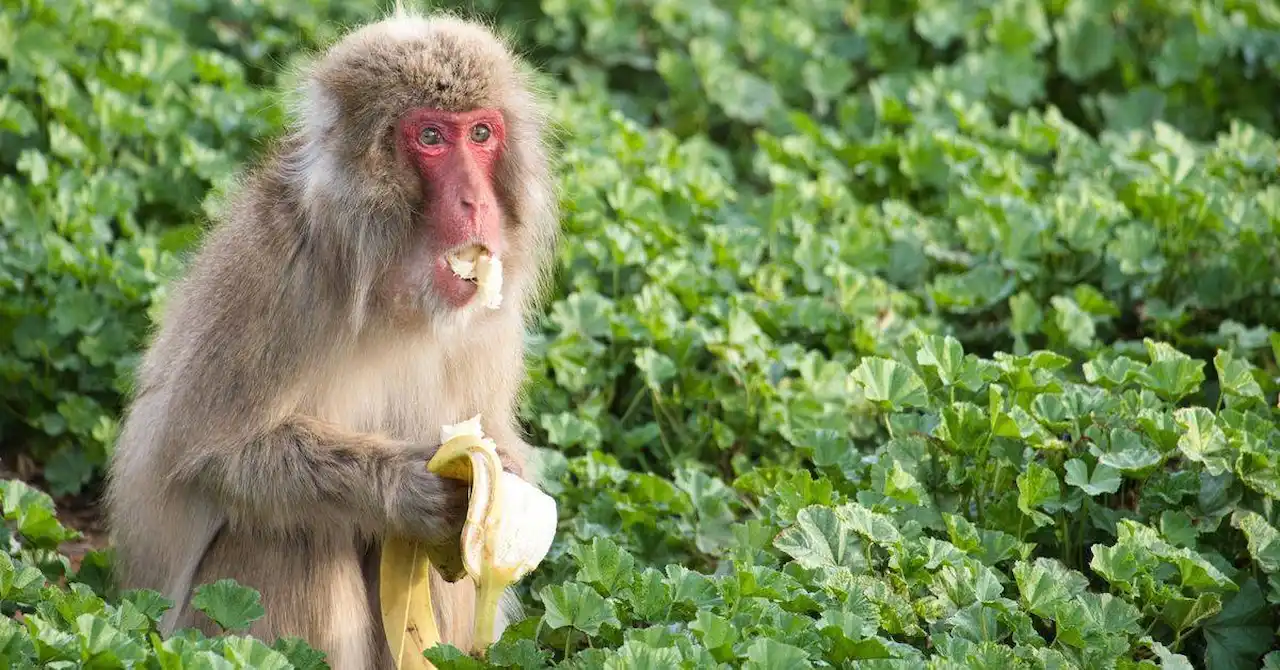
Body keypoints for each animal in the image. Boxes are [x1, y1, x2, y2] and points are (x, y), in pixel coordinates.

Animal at [102, 8, 559, 669]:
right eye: (430, 137)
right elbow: (210, 456)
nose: (476, 201)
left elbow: (493, 439)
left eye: (480, 134)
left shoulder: (492, 319)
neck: (394, 295)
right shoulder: (278, 275)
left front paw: (505, 468)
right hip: (191, 633)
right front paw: (406, 487)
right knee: (291, 533)